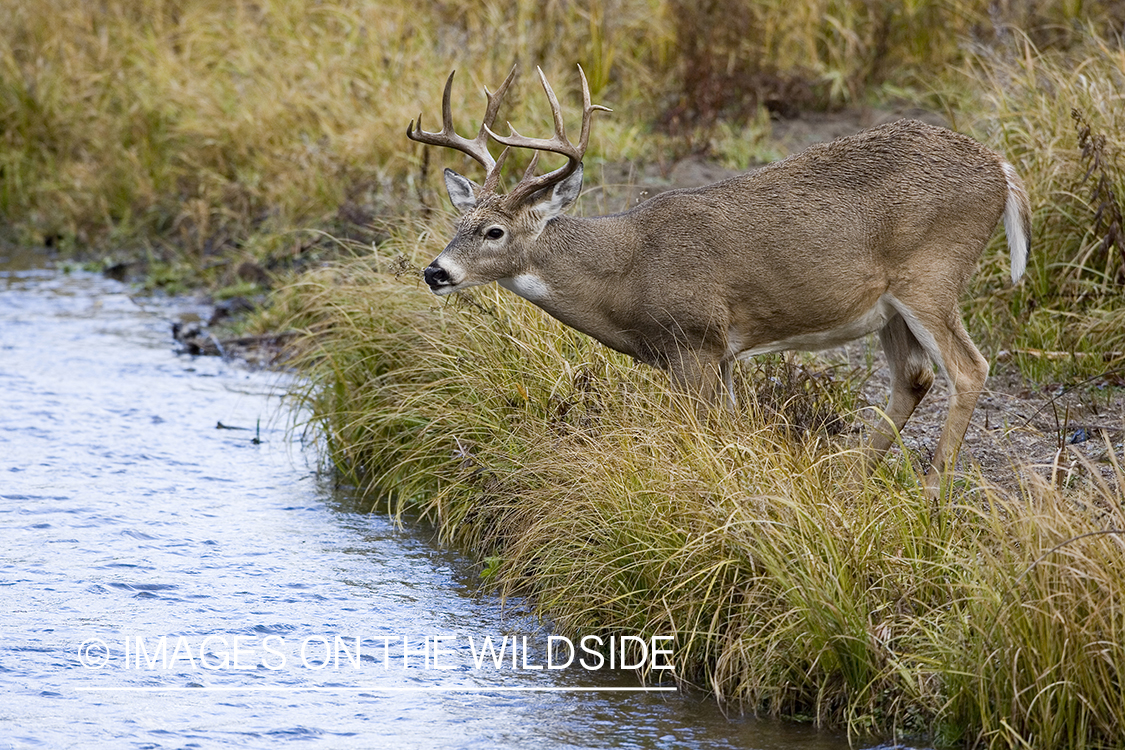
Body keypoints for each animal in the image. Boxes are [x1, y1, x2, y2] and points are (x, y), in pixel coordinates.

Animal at [409, 66, 1030, 499]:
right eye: (457, 224)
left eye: (494, 231)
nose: (436, 271)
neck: (628, 275)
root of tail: (1000, 169)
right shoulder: (721, 353)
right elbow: (731, 430)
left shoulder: (696, 340)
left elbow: (703, 436)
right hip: (889, 304)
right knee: (914, 378)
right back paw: (849, 480)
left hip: (931, 273)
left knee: (968, 369)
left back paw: (931, 492)